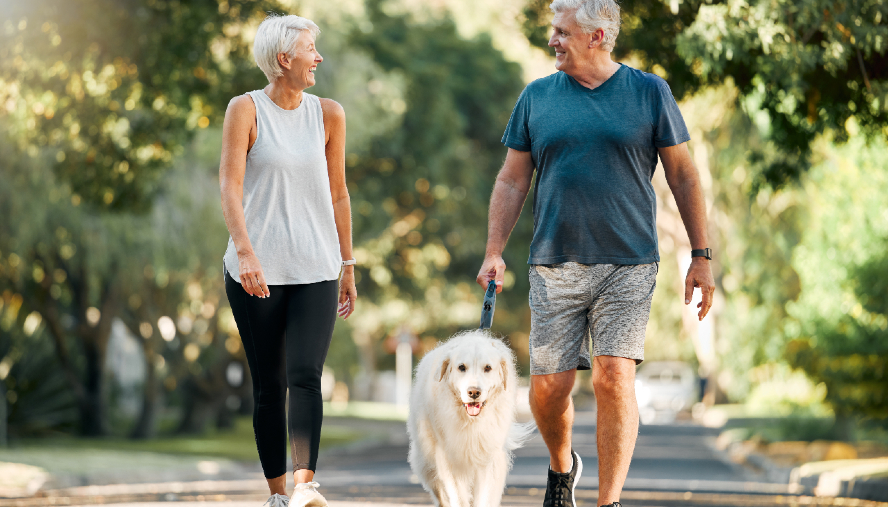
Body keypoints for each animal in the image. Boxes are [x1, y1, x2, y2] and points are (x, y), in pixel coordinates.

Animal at [408, 332, 532, 507]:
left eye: (487, 368)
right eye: (461, 367)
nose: (474, 392)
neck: (471, 422)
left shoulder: (488, 458)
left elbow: (485, 497)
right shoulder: (449, 458)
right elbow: (458, 497)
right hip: (427, 462)